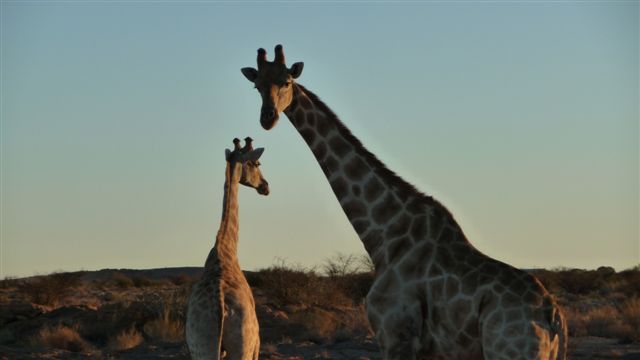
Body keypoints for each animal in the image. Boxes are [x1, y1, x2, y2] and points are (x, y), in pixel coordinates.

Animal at [185, 137, 268, 360]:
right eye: (256, 163)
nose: (265, 186)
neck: (226, 248)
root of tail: (220, 307)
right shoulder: (256, 345)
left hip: (202, 347)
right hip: (242, 345)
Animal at [242, 45, 568, 360]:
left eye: (286, 81)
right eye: (257, 85)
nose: (267, 117)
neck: (384, 234)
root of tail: (554, 315)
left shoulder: (395, 335)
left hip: (509, 351)